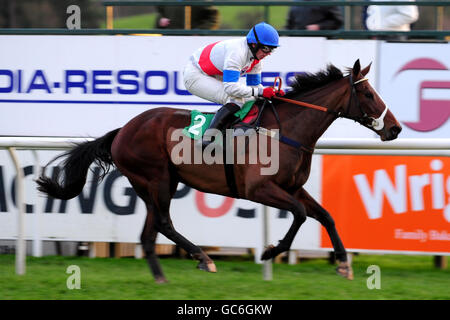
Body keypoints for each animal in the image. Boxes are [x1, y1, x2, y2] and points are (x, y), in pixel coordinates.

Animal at [35, 59, 400, 282]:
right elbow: (298, 214)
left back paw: (161, 276)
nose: (395, 128)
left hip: (154, 185)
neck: (286, 130)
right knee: (164, 224)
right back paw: (202, 257)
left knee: (149, 233)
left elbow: (325, 216)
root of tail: (123, 130)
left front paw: (343, 264)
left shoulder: (293, 187)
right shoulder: (260, 189)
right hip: (157, 180)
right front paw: (270, 250)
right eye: (368, 93)